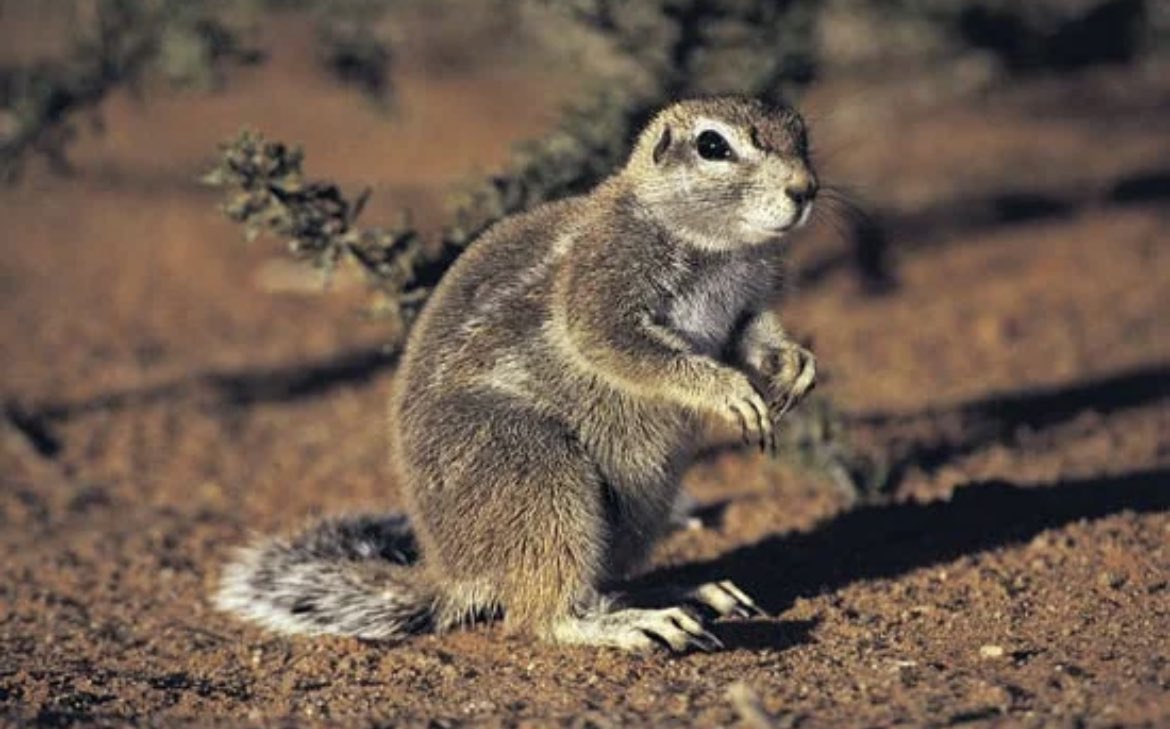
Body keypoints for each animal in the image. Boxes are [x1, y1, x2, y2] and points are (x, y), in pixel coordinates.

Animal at [215, 96, 819, 652]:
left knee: (597, 586)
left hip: (638, 508)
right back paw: (636, 624)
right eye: (713, 145)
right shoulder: (602, 281)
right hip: (536, 470)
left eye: (801, 132)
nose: (806, 189)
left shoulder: (742, 305)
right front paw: (728, 390)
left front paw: (793, 364)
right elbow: (619, 344)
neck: (717, 245)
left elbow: (751, 334)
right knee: (541, 616)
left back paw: (687, 594)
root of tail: (455, 574)